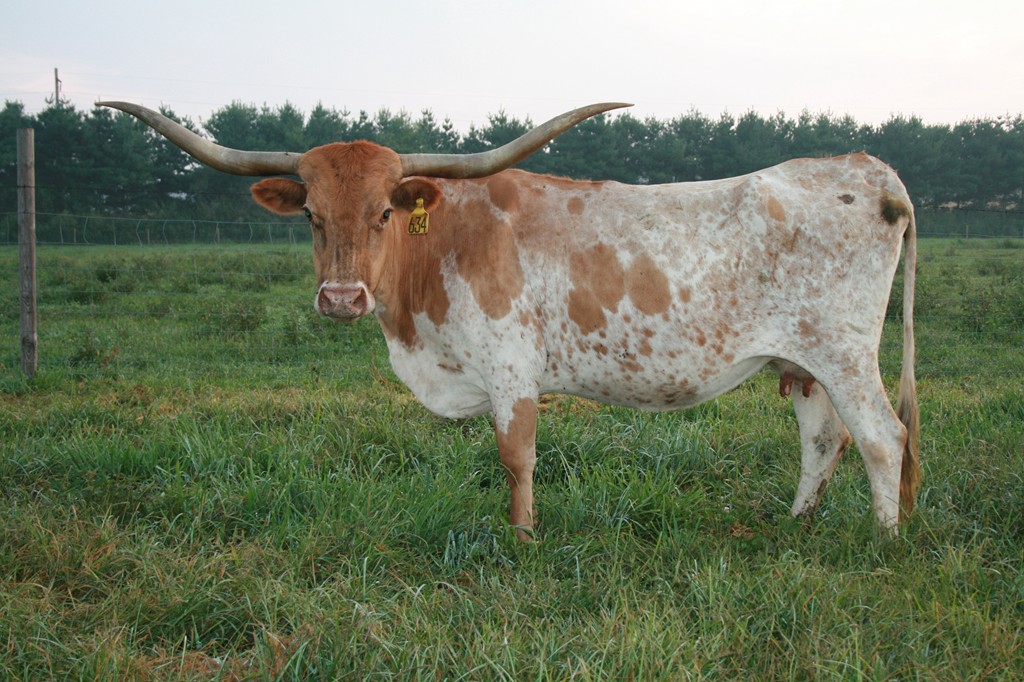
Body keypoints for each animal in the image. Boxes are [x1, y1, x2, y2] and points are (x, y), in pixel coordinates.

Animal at [100, 100, 920, 541]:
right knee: (824, 439)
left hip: (846, 352)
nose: (340, 299)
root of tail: (868, 169)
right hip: (803, 362)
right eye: (310, 215)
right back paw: (797, 524)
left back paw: (881, 541)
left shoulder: (510, 368)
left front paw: (523, 538)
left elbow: (515, 456)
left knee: (883, 438)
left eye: (385, 210)